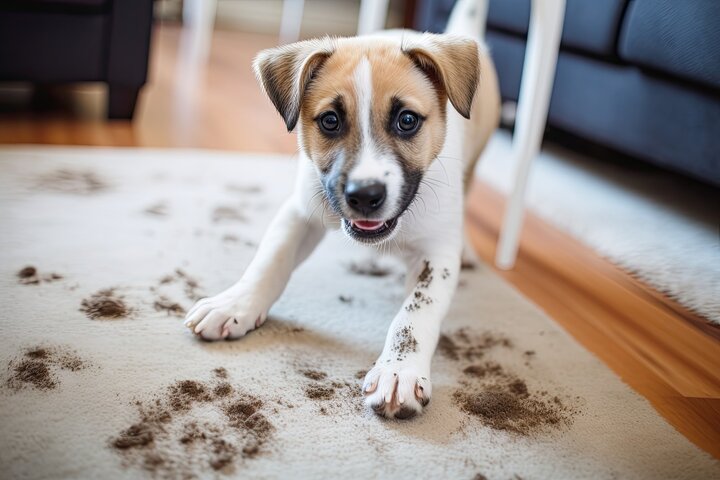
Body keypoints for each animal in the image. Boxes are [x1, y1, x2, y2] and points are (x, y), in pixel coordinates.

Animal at [186, 0, 500, 420]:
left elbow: (414, 316)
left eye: (407, 120)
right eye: (330, 121)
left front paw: (398, 371)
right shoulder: (301, 211)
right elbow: (269, 262)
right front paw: (235, 304)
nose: (365, 196)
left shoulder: (436, 254)